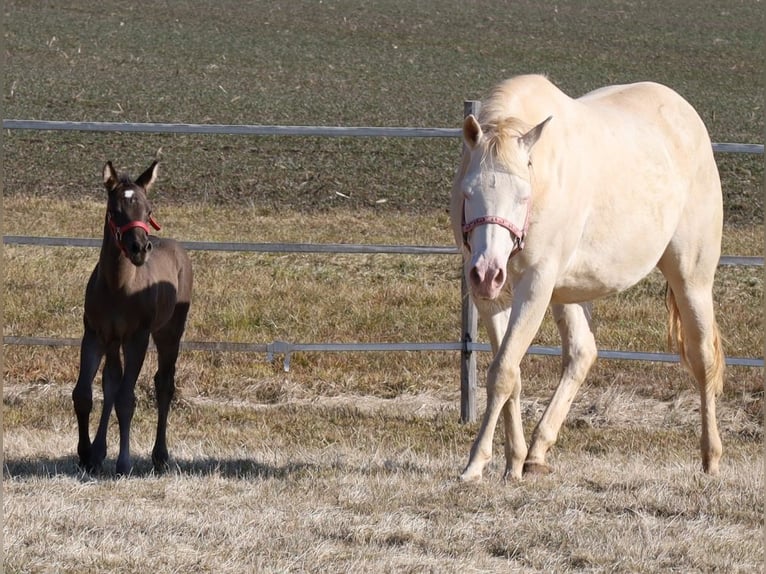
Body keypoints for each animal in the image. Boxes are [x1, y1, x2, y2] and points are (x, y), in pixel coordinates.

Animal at [72, 161, 194, 476]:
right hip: (114, 341)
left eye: (148, 211)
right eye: (115, 210)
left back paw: (160, 456)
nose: (139, 247)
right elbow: (84, 394)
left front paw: (123, 463)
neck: (118, 286)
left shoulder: (137, 337)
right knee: (111, 382)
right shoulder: (95, 334)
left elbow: (127, 399)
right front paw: (86, 455)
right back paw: (99, 452)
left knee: (164, 384)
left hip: (169, 332)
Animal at [452, 74, 728, 484]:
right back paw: (536, 453)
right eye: (470, 192)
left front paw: (474, 464)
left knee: (702, 358)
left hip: (692, 278)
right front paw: (512, 461)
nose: (487, 271)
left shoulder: (536, 286)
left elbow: (502, 372)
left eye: (523, 196)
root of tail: (686, 117)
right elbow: (510, 373)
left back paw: (711, 457)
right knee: (583, 352)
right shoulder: (493, 298)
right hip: (569, 292)